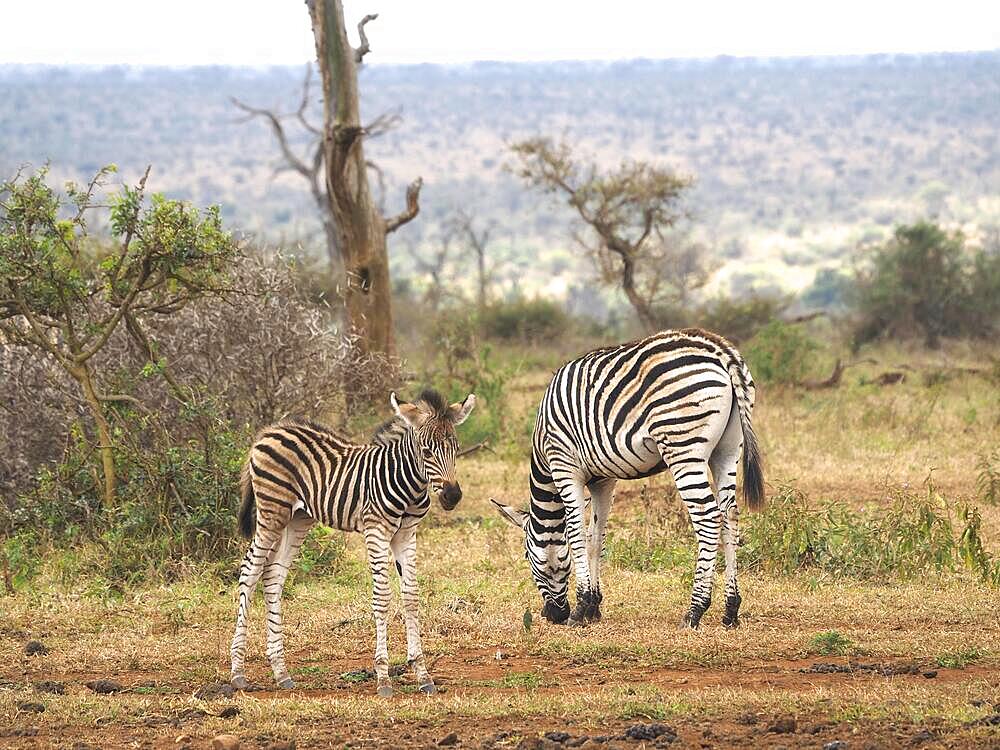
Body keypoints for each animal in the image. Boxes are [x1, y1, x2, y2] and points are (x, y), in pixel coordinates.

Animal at [230, 390, 476, 696]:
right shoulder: (376, 530)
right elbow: (382, 598)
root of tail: (269, 431)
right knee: (250, 571)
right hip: (272, 511)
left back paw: (281, 672)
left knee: (273, 575)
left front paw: (422, 674)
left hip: (297, 519)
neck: (408, 483)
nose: (452, 496)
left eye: (456, 448)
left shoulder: (407, 534)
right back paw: (238, 672)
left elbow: (411, 596)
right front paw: (383, 677)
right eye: (427, 451)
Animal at [492, 332, 764, 632]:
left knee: (708, 518)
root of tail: (720, 350)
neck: (542, 447)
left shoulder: (564, 465)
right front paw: (594, 606)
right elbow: (595, 537)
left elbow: (576, 533)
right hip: (728, 448)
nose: (554, 615)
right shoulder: (603, 480)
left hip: (683, 447)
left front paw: (581, 607)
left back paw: (695, 611)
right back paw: (731, 610)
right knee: (730, 515)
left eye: (527, 558)